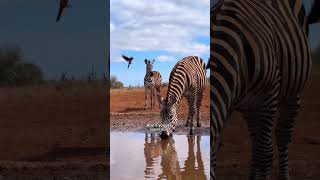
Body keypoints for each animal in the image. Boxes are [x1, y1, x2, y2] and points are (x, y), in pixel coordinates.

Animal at [210, 0, 320, 180]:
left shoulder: (268, 95)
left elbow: (265, 154)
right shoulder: (229, 102)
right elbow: (216, 149)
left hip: (292, 91)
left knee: (282, 136)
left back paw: (283, 176)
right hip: (249, 104)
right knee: (256, 137)